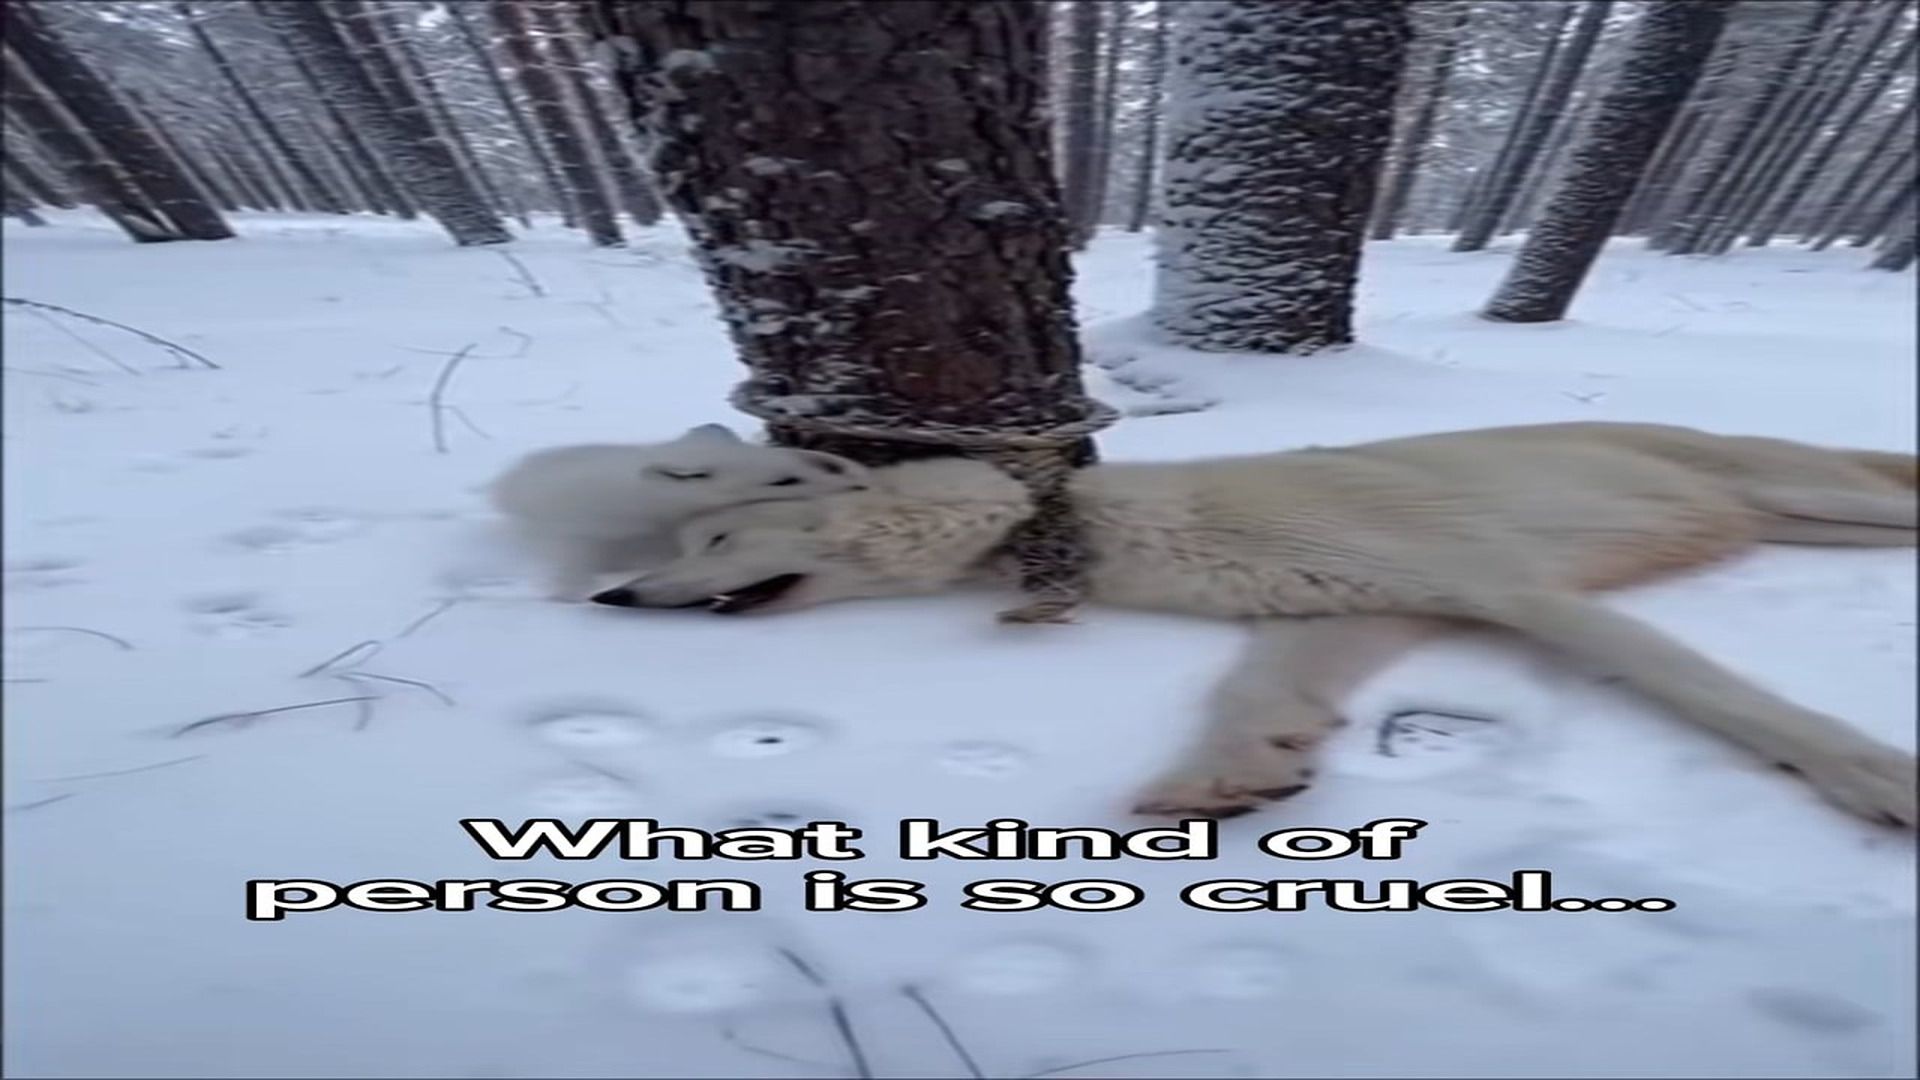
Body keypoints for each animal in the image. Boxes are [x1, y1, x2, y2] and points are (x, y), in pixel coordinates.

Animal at [588, 421, 1919, 829]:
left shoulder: (1517, 595)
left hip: (1827, 501)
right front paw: (1227, 776)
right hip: (1817, 525)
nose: (610, 601)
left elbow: (1727, 700)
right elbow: (1251, 696)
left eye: (711, 546)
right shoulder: (1354, 612)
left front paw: (1875, 779)